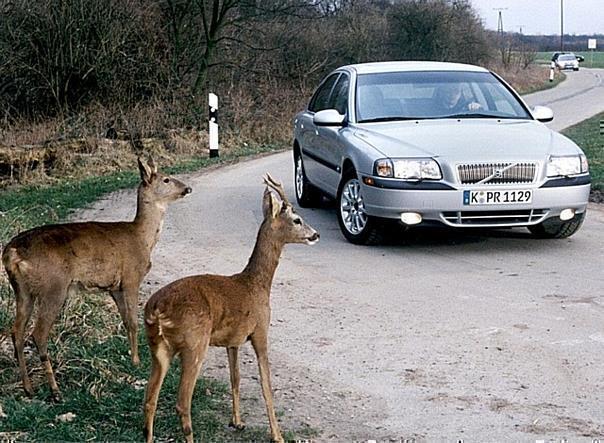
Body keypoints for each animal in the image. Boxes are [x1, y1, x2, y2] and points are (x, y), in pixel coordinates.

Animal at [1, 157, 191, 402]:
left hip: (22, 290)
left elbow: (125, 321)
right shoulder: (131, 277)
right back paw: (55, 390)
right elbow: (133, 321)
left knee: (17, 331)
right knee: (38, 333)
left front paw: (132, 358)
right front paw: (137, 362)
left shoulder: (114, 287)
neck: (143, 237)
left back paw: (28, 388)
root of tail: (12, 253)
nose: (187, 188)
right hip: (54, 287)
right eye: (167, 179)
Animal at [143, 173, 318, 443]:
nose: (315, 234)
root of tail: (156, 310)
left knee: (149, 399)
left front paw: (237, 422)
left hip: (158, 348)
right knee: (182, 402)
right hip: (194, 343)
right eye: (297, 219)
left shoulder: (233, 341)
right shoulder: (260, 331)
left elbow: (235, 378)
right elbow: (266, 386)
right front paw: (277, 435)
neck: (256, 284)